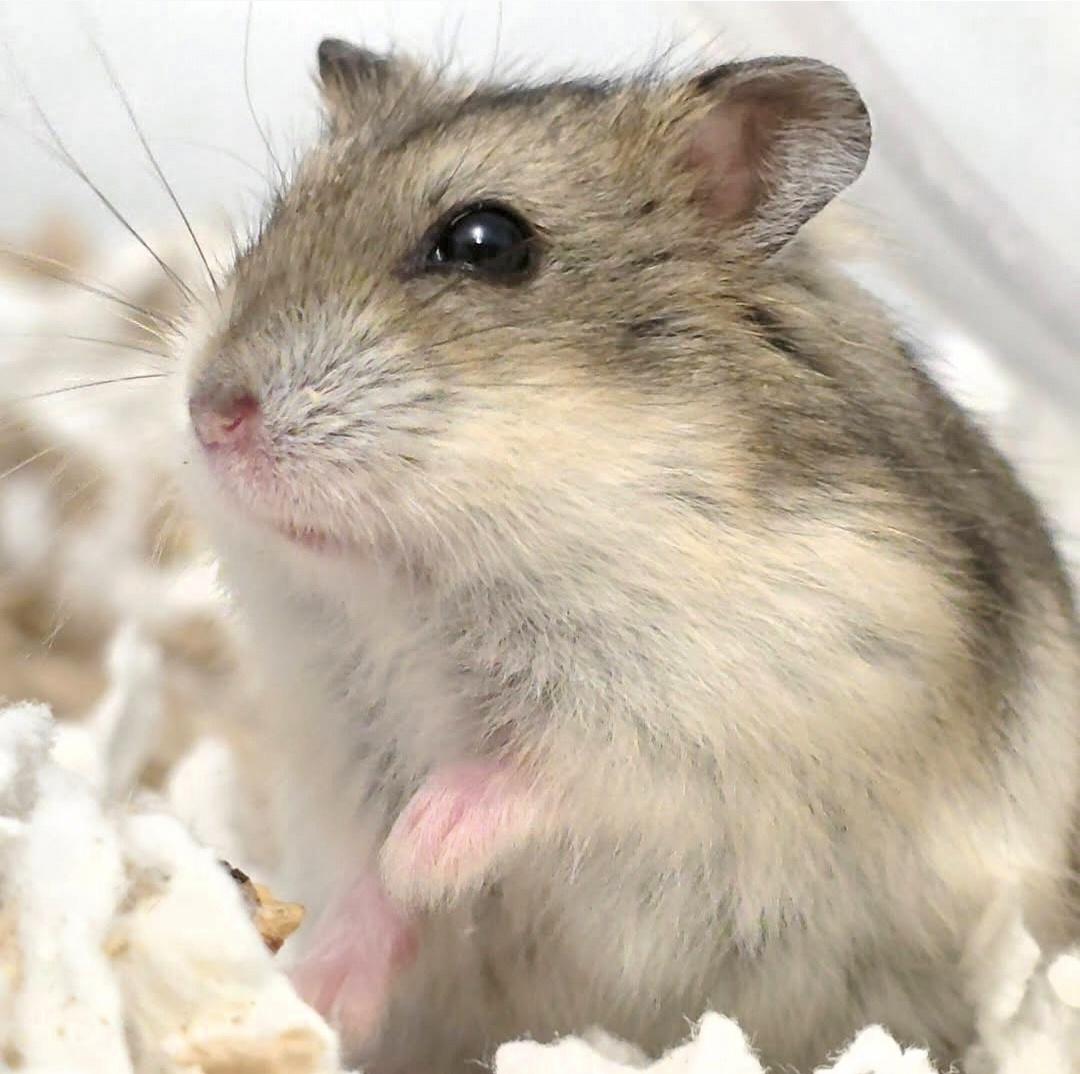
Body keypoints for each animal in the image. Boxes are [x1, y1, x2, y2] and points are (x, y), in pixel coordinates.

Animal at [178, 39, 1080, 1072]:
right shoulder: (350, 744)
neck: (412, 590)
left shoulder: (755, 698)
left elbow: (545, 777)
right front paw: (312, 990)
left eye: (484, 242)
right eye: (278, 215)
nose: (208, 413)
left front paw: (425, 847)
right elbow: (377, 885)